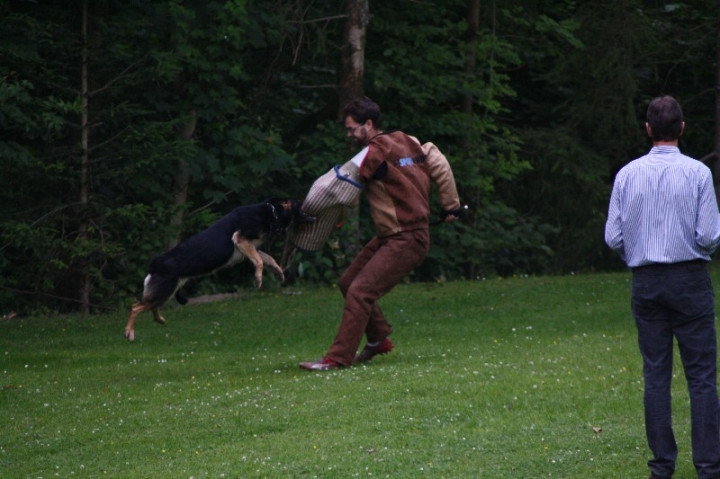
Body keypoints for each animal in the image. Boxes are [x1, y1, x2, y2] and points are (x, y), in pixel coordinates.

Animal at [124, 199, 316, 342]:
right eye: (300, 203)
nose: (310, 204)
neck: (272, 212)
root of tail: (154, 264)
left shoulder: (248, 247)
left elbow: (268, 259)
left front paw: (277, 272)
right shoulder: (241, 238)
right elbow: (260, 261)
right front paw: (258, 279)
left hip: (167, 291)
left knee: (151, 306)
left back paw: (159, 319)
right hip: (165, 290)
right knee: (136, 307)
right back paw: (129, 333)